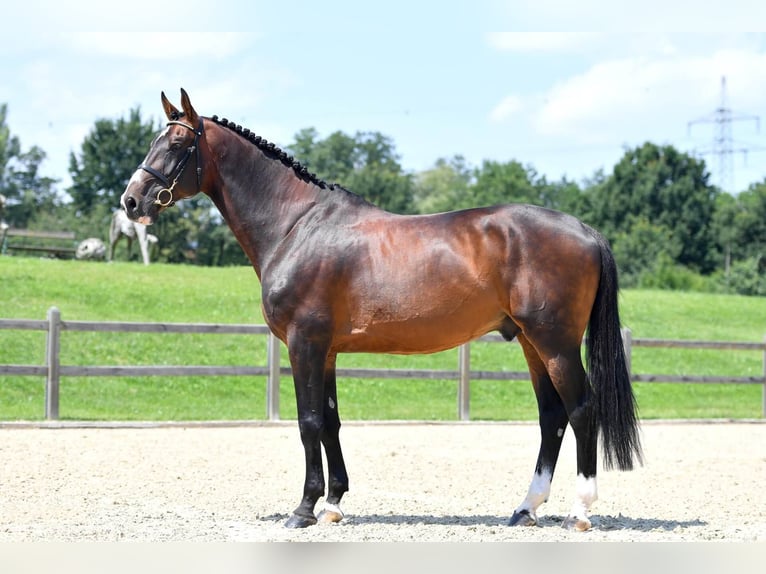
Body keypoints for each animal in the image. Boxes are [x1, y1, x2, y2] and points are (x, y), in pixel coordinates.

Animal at [121, 88, 648, 532]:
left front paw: (304, 509)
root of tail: (584, 230)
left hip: (555, 343)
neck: (296, 225)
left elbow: (308, 422)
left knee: (581, 410)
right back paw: (525, 508)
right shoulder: (326, 351)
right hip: (531, 344)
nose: (131, 200)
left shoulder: (304, 344)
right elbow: (330, 420)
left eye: (174, 143)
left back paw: (580, 512)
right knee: (551, 416)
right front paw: (334, 504)